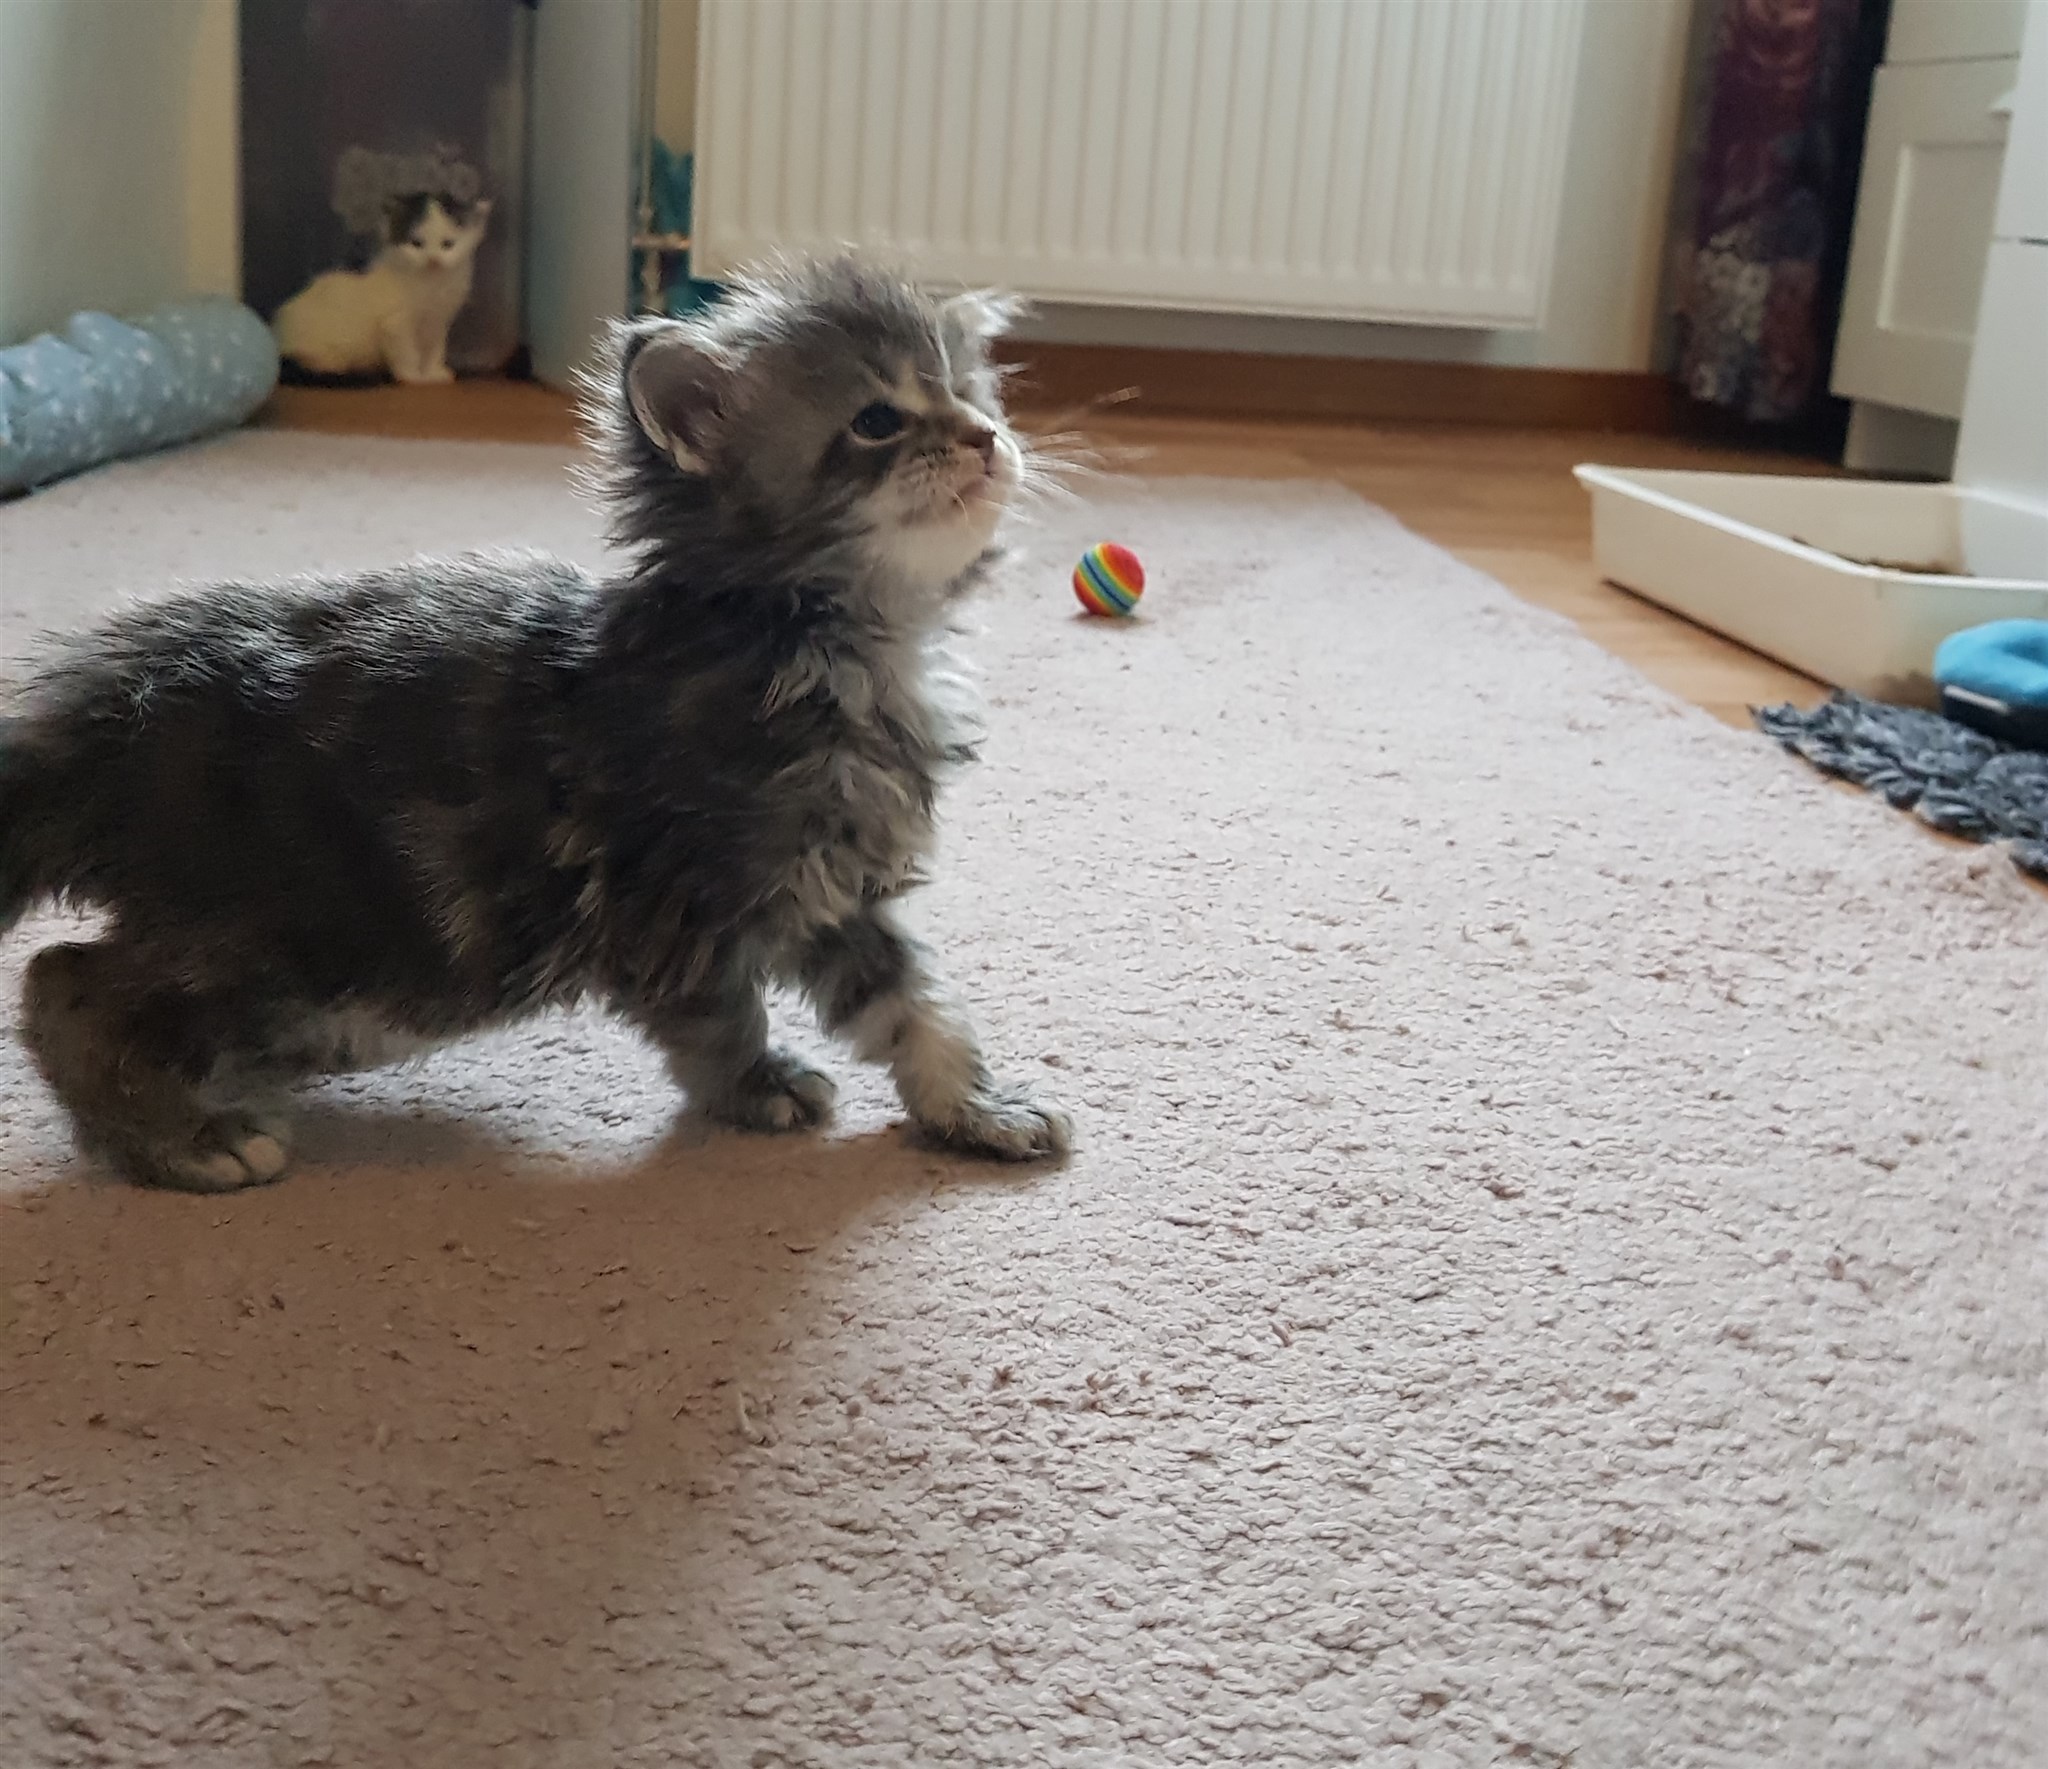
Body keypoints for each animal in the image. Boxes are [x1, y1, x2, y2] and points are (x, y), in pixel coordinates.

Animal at [0, 255, 1071, 1191]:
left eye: (974, 394)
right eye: (880, 419)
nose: (985, 437)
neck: (840, 644)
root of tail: (110, 697)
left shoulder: (835, 889)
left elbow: (915, 1008)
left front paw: (979, 1110)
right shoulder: (677, 895)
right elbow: (719, 1016)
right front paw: (755, 1088)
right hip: (301, 933)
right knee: (64, 984)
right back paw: (185, 1138)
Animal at [271, 192, 492, 385]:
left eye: (448, 244)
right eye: (416, 243)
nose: (433, 261)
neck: (432, 285)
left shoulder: (438, 321)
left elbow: (434, 350)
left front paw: (433, 372)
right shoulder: (395, 323)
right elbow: (407, 352)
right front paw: (413, 376)